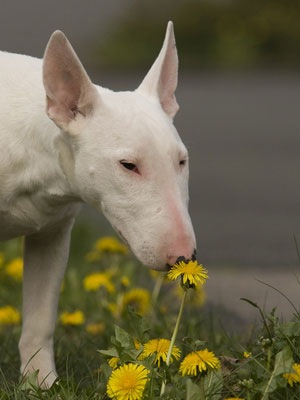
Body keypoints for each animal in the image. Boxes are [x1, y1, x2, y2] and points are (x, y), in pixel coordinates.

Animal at [0, 22, 196, 388]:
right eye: (128, 165)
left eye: (181, 161)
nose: (182, 257)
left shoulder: (53, 233)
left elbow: (40, 317)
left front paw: (41, 383)